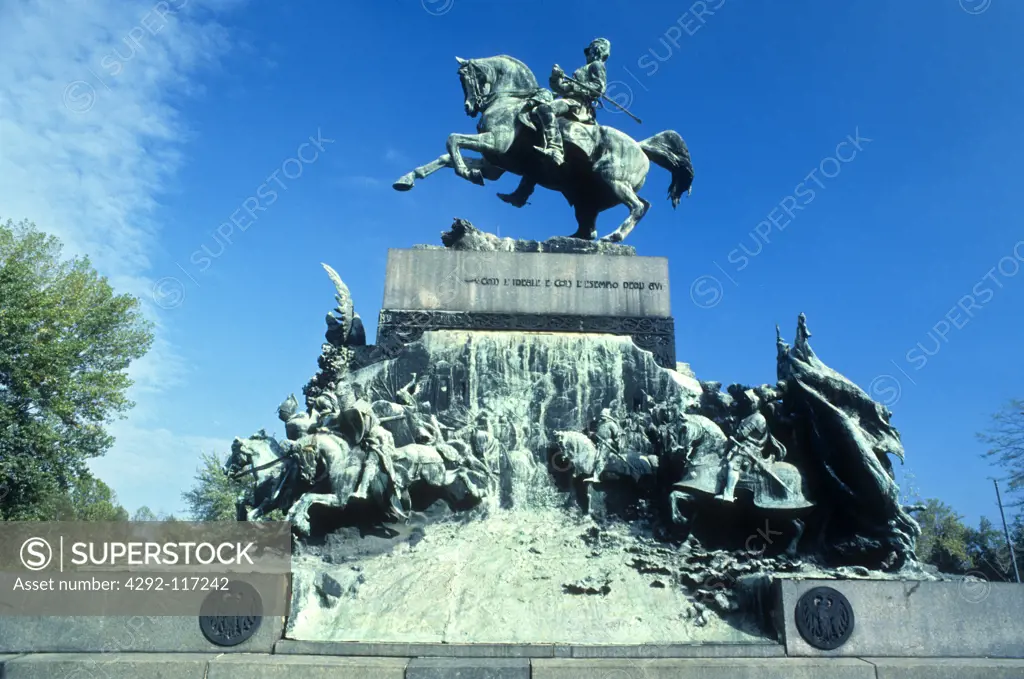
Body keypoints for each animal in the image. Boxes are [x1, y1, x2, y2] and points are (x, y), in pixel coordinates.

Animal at [393, 55, 696, 242]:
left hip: (613, 180)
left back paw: (615, 236)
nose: (469, 107)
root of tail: (642, 147)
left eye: (465, 78)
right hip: (587, 196)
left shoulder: (496, 142)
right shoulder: (495, 164)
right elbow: (445, 156)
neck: (509, 100)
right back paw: (570, 239)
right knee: (590, 229)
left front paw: (467, 174)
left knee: (639, 206)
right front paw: (407, 179)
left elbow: (452, 139)